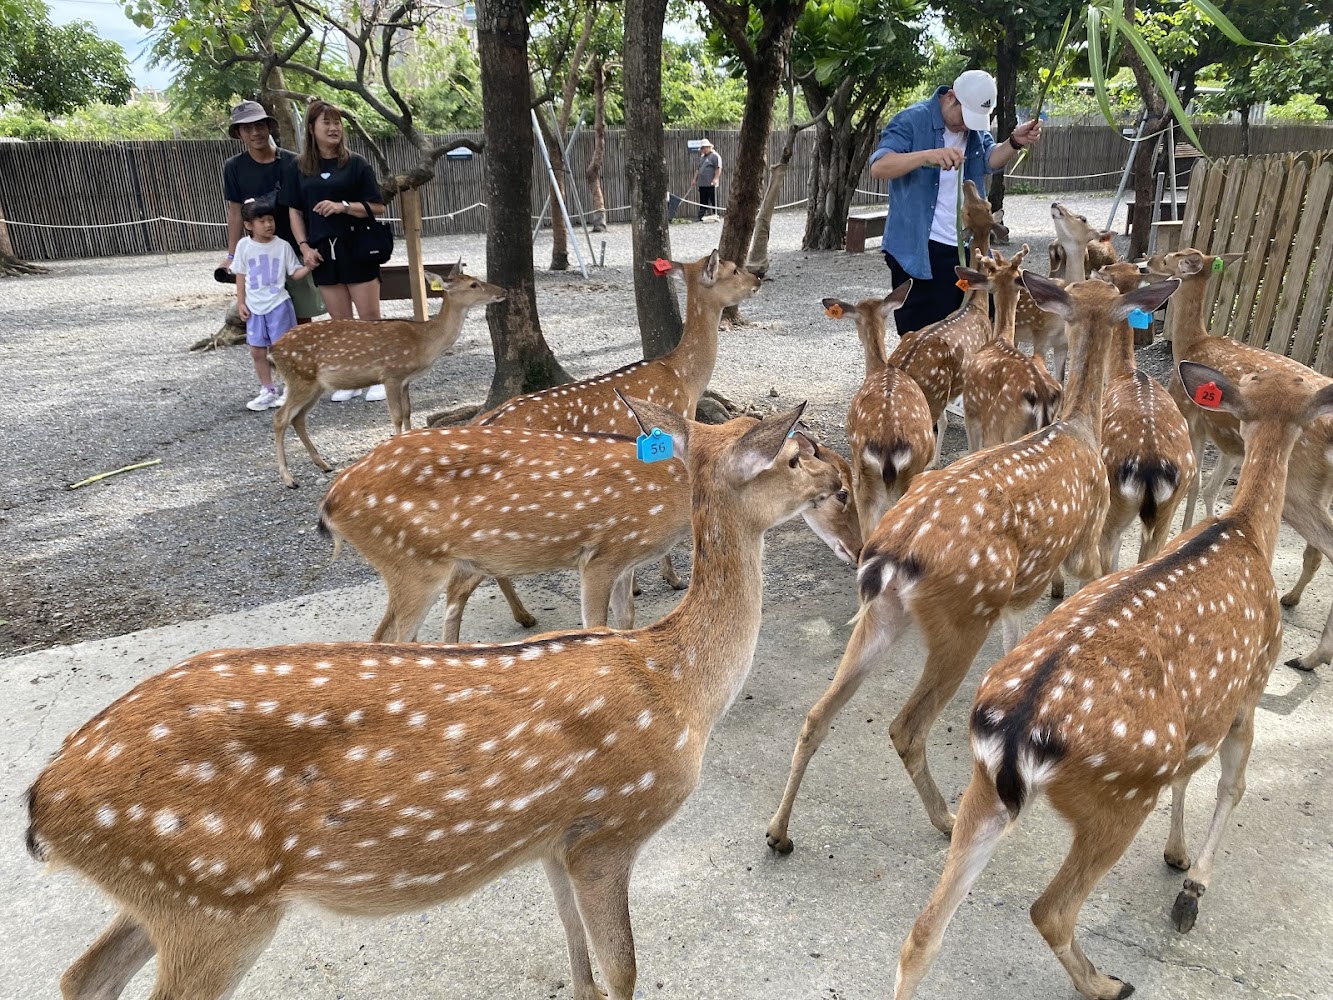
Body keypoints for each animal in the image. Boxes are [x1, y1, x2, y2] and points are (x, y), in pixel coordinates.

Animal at [271, 271, 506, 489]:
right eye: (473, 284)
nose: (503, 290)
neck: (424, 341)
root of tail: (273, 350)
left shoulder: (405, 380)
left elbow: (408, 412)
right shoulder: (391, 374)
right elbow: (396, 416)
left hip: (315, 385)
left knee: (298, 418)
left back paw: (324, 464)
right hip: (300, 378)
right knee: (280, 417)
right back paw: (289, 479)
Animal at [318, 424, 861, 642]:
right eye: (842, 492)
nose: (859, 551)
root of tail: (330, 506)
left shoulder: (624, 561)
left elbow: (626, 620)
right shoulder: (600, 554)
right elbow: (595, 623)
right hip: (412, 563)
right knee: (387, 636)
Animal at [892, 361, 1332, 1000]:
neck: (1247, 533)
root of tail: (1016, 733)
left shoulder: (1203, 711)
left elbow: (1190, 778)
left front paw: (1176, 856)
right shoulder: (1248, 688)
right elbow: (1232, 786)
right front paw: (1191, 891)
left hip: (987, 785)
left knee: (923, 932)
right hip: (1120, 795)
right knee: (1050, 909)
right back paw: (1106, 983)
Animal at [1094, 260, 1195, 572]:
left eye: (1108, 271)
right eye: (1121, 266)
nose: (1097, 266)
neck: (1123, 372)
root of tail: (1151, 466)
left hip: (1114, 503)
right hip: (1169, 507)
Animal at [1150, 248, 1333, 672]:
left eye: (1169, 258)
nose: (1145, 261)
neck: (1193, 343)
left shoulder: (1193, 417)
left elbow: (1198, 483)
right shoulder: (1233, 445)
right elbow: (1212, 486)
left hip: (1300, 488)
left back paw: (1312, 656)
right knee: (1317, 549)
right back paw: (1291, 601)